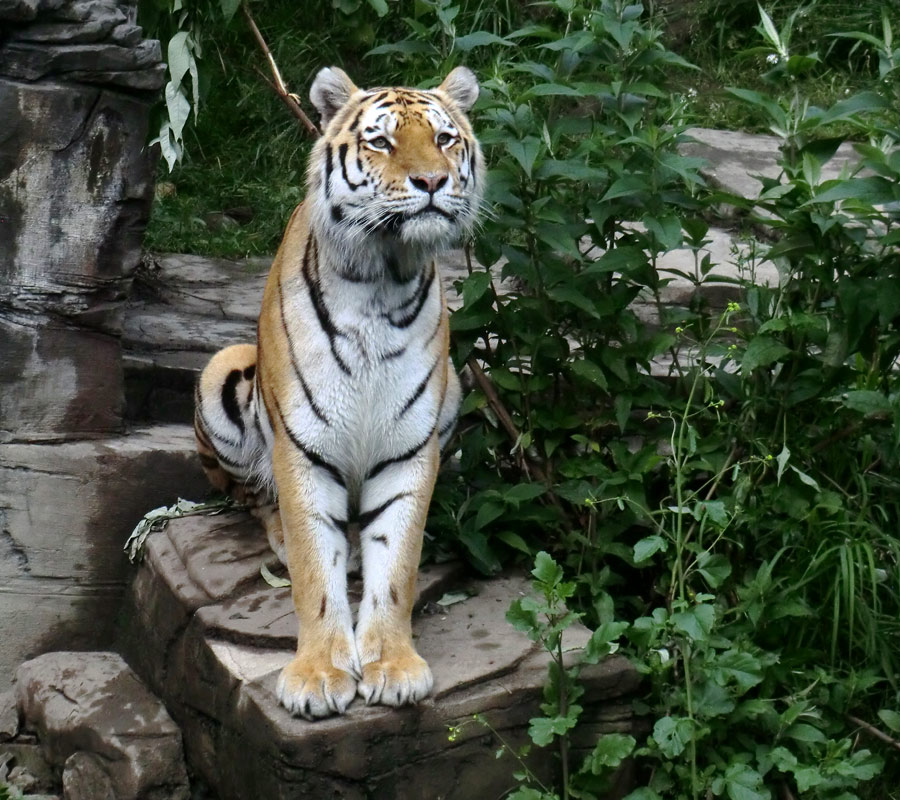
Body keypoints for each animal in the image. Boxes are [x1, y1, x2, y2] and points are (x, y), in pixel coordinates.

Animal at [192, 67, 482, 720]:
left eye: (445, 138)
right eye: (382, 142)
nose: (433, 182)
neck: (383, 274)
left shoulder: (410, 448)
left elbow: (397, 563)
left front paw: (393, 667)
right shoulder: (302, 447)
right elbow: (312, 569)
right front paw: (320, 675)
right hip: (221, 374)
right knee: (249, 498)